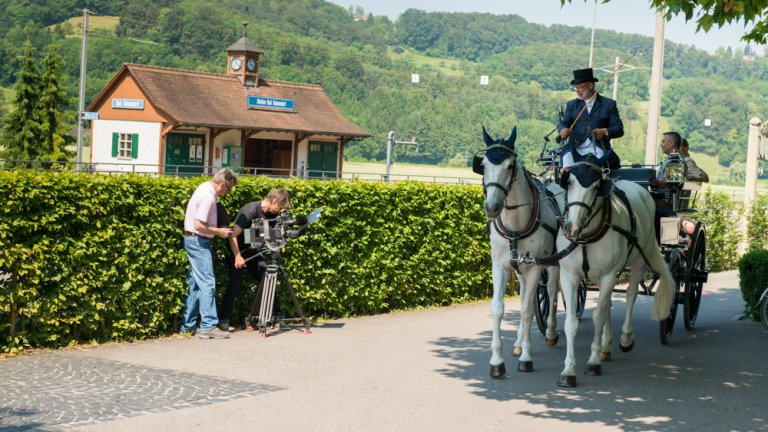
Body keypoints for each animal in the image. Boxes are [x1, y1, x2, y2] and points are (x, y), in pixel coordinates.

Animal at [476, 126, 568, 376]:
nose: (492, 207)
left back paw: (550, 332)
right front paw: (497, 361)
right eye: (483, 165)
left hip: (554, 264)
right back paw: (518, 343)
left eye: (510, 165)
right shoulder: (500, 266)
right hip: (521, 268)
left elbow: (527, 310)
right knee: (527, 292)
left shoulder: (536, 267)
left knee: (552, 291)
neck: (516, 224)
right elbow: (499, 309)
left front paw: (526, 358)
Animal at [556, 152, 676, 388]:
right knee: (609, 303)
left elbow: (598, 317)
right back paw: (606, 346)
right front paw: (568, 370)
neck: (586, 238)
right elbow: (571, 323)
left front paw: (593, 362)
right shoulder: (569, 277)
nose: (572, 227)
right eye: (569, 182)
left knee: (630, 296)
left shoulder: (608, 276)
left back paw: (625, 339)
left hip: (638, 261)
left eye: (596, 187)